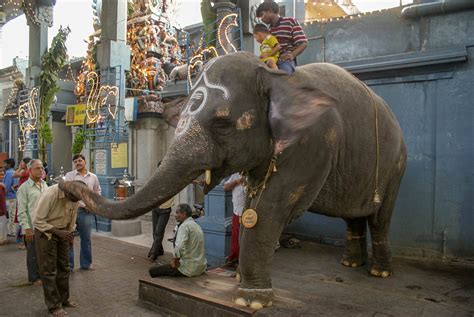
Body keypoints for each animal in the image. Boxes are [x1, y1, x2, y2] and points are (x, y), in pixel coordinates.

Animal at [59, 51, 408, 308]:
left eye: (223, 123)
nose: (65, 183)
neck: (273, 77)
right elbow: (255, 203)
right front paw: (243, 284)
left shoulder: (314, 143)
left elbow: (270, 209)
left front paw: (251, 300)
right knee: (354, 217)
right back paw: (350, 264)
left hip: (396, 165)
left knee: (379, 218)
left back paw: (379, 271)